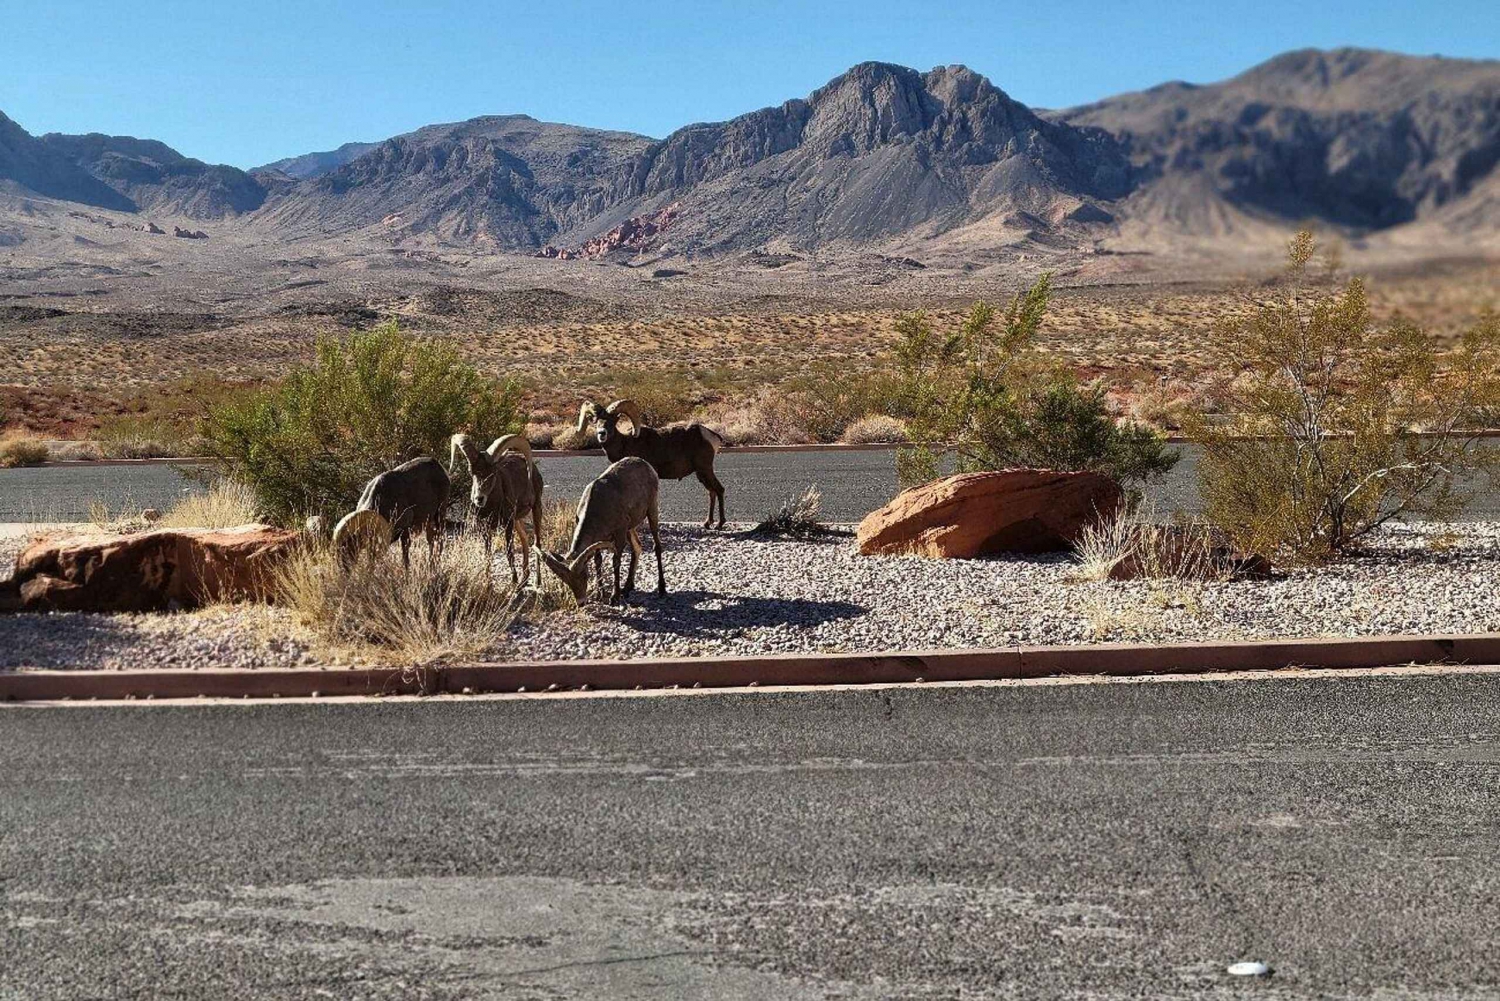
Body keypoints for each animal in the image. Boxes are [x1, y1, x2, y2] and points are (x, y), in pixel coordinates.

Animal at [450, 432, 546, 588]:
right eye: (471, 472)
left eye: (493, 472)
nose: (479, 499)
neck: (491, 507)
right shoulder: (485, 527)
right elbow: (488, 553)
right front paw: (488, 583)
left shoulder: (508, 523)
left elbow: (509, 552)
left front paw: (513, 581)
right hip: (517, 520)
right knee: (525, 539)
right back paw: (523, 581)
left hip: (536, 508)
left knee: (537, 543)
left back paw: (537, 582)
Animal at [534, 459, 663, 606]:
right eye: (567, 581)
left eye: (584, 575)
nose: (581, 602)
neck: (598, 507)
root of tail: (647, 465)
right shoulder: (597, 539)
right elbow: (598, 561)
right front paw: (600, 595)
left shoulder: (619, 533)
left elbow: (616, 562)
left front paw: (614, 597)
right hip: (631, 528)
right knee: (637, 547)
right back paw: (627, 589)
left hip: (652, 511)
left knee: (657, 546)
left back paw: (661, 589)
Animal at [573, 399, 726, 528]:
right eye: (596, 421)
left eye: (612, 421)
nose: (602, 433)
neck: (625, 443)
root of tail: (712, 436)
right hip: (701, 473)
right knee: (711, 492)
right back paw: (707, 523)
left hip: (705, 469)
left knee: (719, 489)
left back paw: (719, 524)